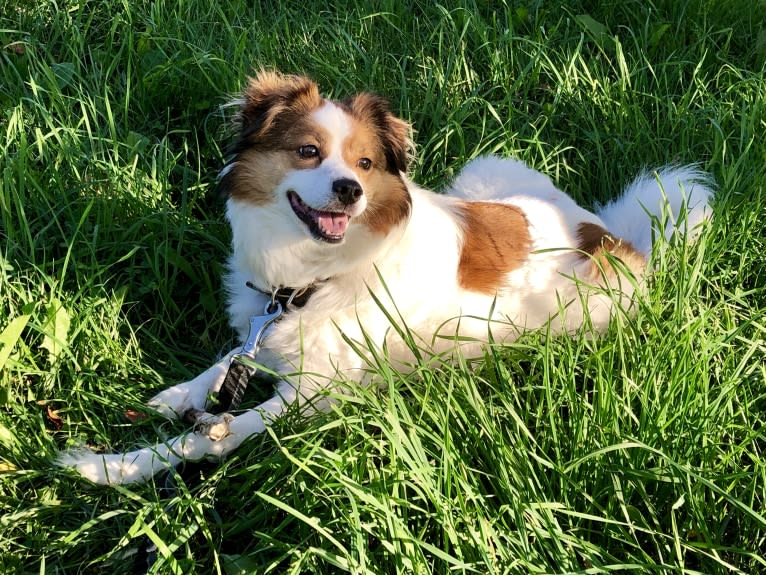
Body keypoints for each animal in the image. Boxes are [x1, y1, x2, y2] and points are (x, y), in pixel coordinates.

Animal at [58, 72, 712, 486]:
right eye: (307, 151)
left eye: (366, 164)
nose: (351, 189)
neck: (311, 275)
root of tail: (610, 234)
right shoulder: (266, 323)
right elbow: (229, 359)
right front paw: (177, 395)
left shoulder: (315, 395)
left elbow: (213, 433)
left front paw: (112, 468)